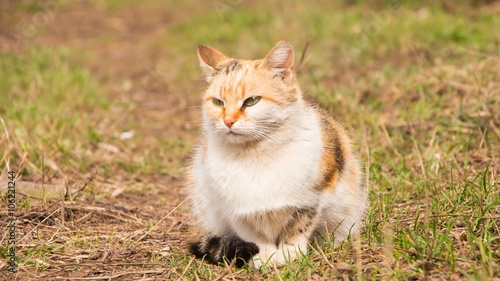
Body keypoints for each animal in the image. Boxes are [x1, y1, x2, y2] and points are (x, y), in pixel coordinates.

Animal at [188, 40, 368, 266]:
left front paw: (290, 253)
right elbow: (252, 233)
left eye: (252, 101)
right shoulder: (232, 207)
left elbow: (299, 225)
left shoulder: (313, 196)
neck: (255, 156)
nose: (228, 121)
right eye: (218, 102)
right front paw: (264, 255)